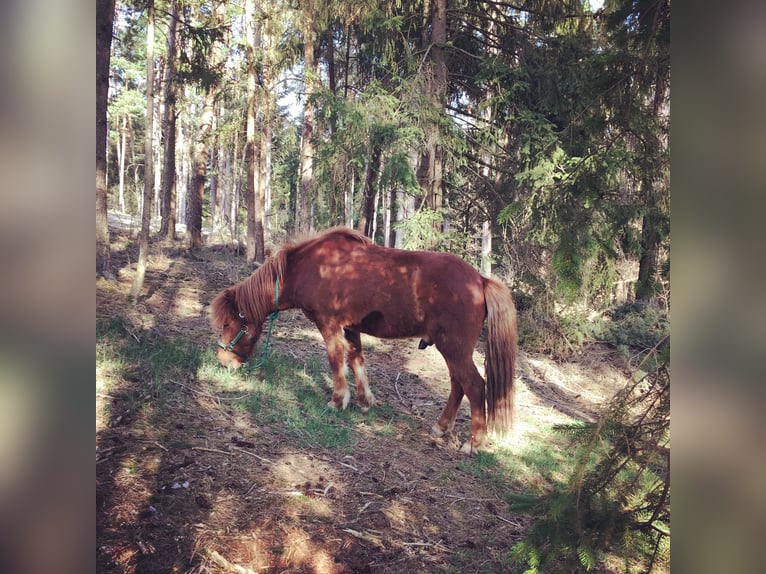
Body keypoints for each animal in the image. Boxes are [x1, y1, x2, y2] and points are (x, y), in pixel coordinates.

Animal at [210, 227, 518, 453]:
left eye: (227, 323)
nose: (223, 361)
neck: (311, 268)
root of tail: (480, 280)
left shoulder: (329, 325)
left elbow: (336, 359)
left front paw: (337, 401)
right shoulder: (351, 328)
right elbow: (356, 359)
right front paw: (365, 401)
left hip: (454, 348)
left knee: (474, 386)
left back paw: (472, 442)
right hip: (452, 350)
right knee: (458, 385)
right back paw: (441, 427)